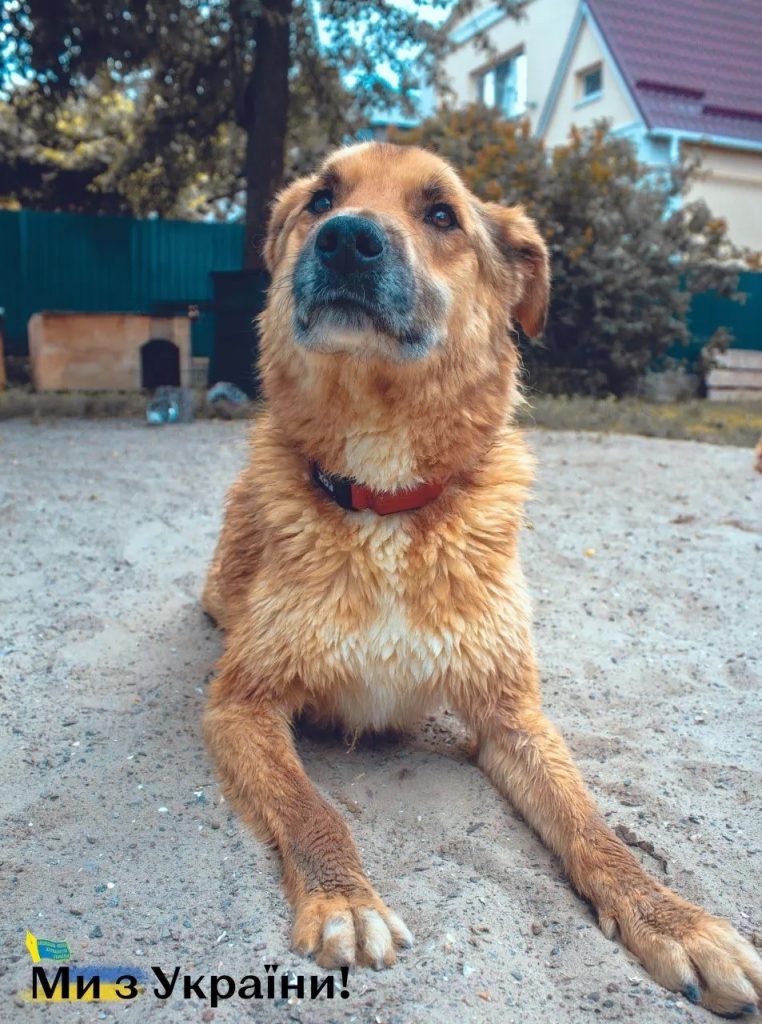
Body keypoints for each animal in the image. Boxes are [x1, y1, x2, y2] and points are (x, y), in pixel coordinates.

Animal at [203, 140, 762, 1011]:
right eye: (322, 199)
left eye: (441, 215)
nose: (346, 237)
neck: (387, 503)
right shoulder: (240, 704)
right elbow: (311, 808)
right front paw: (345, 899)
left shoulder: (513, 717)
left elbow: (593, 825)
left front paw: (672, 918)